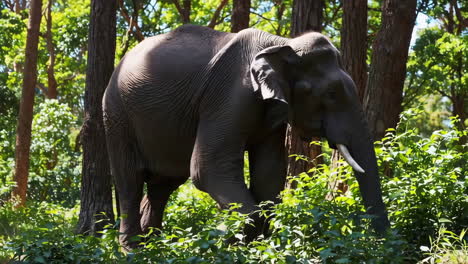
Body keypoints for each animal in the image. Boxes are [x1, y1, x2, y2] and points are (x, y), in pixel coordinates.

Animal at [103, 23, 392, 249]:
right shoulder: (230, 95)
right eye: (332, 94)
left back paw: (154, 244)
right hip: (117, 115)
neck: (283, 44)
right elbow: (208, 168)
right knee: (130, 179)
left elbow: (269, 174)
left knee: (163, 184)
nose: (384, 244)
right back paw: (133, 249)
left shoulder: (272, 111)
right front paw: (222, 243)